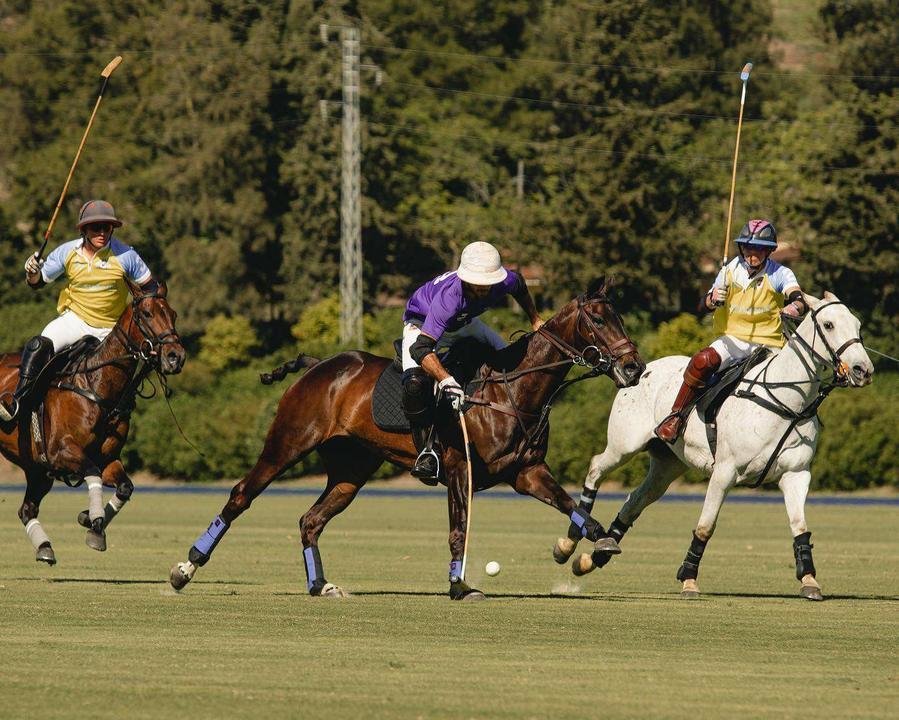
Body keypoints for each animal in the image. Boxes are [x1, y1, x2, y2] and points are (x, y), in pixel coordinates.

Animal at [0, 282, 184, 564]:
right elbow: (92, 472)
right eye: (147, 313)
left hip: (36, 470)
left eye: (172, 314)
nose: (176, 356)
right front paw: (94, 519)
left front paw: (91, 523)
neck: (98, 387)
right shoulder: (62, 452)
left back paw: (44, 547)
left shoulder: (106, 457)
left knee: (27, 509)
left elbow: (125, 486)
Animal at [171, 282, 648, 596]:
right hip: (287, 443)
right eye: (599, 319)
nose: (634, 367)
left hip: (350, 469)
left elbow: (572, 506)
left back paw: (320, 585)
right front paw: (459, 585)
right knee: (241, 495)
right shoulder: (459, 469)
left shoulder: (526, 471)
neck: (511, 390)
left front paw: (590, 545)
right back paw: (186, 568)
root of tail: (318, 364)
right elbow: (458, 529)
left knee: (310, 520)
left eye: (620, 316)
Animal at [552, 292, 876, 600]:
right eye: (828, 325)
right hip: (624, 445)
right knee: (596, 466)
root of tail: (640, 369)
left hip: (667, 464)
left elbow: (800, 527)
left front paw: (810, 581)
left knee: (635, 500)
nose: (863, 370)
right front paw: (688, 580)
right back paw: (569, 540)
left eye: (858, 325)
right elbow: (706, 526)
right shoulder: (725, 471)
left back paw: (595, 556)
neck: (788, 403)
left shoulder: (796, 474)